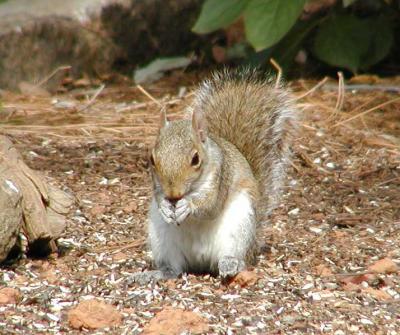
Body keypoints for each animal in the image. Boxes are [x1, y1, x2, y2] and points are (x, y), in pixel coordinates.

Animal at [131, 69, 296, 286]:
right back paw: (154, 274)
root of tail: (200, 260)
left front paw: (188, 205)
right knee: (173, 269)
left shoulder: (221, 176)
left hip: (239, 227)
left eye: (195, 159)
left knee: (234, 257)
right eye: (151, 158)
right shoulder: (157, 186)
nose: (173, 195)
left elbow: (211, 206)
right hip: (162, 239)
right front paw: (165, 206)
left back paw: (230, 264)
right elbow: (158, 197)